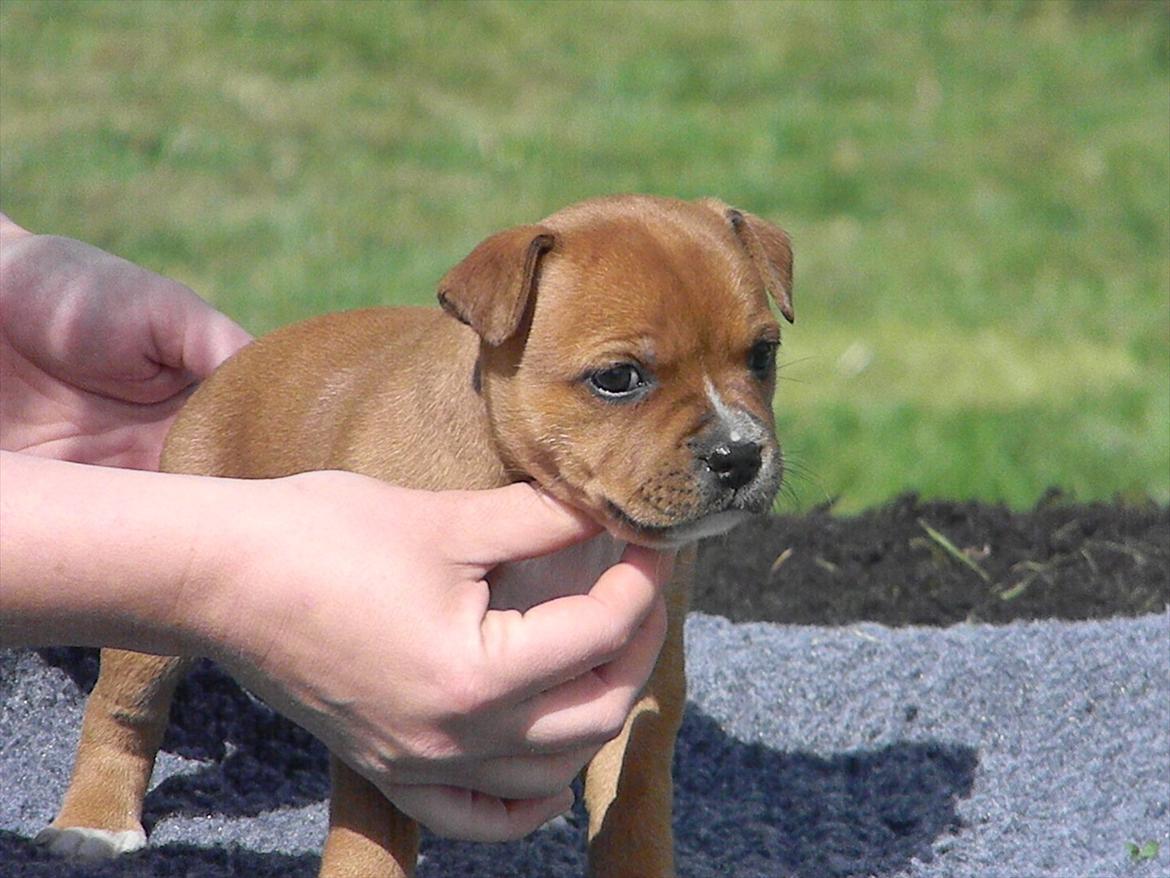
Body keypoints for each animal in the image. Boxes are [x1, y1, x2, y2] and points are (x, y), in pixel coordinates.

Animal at [41, 195, 800, 875]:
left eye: (764, 355)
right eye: (618, 378)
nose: (738, 454)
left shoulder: (646, 687)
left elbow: (634, 805)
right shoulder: (385, 694)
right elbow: (372, 827)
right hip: (154, 615)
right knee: (124, 708)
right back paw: (95, 822)